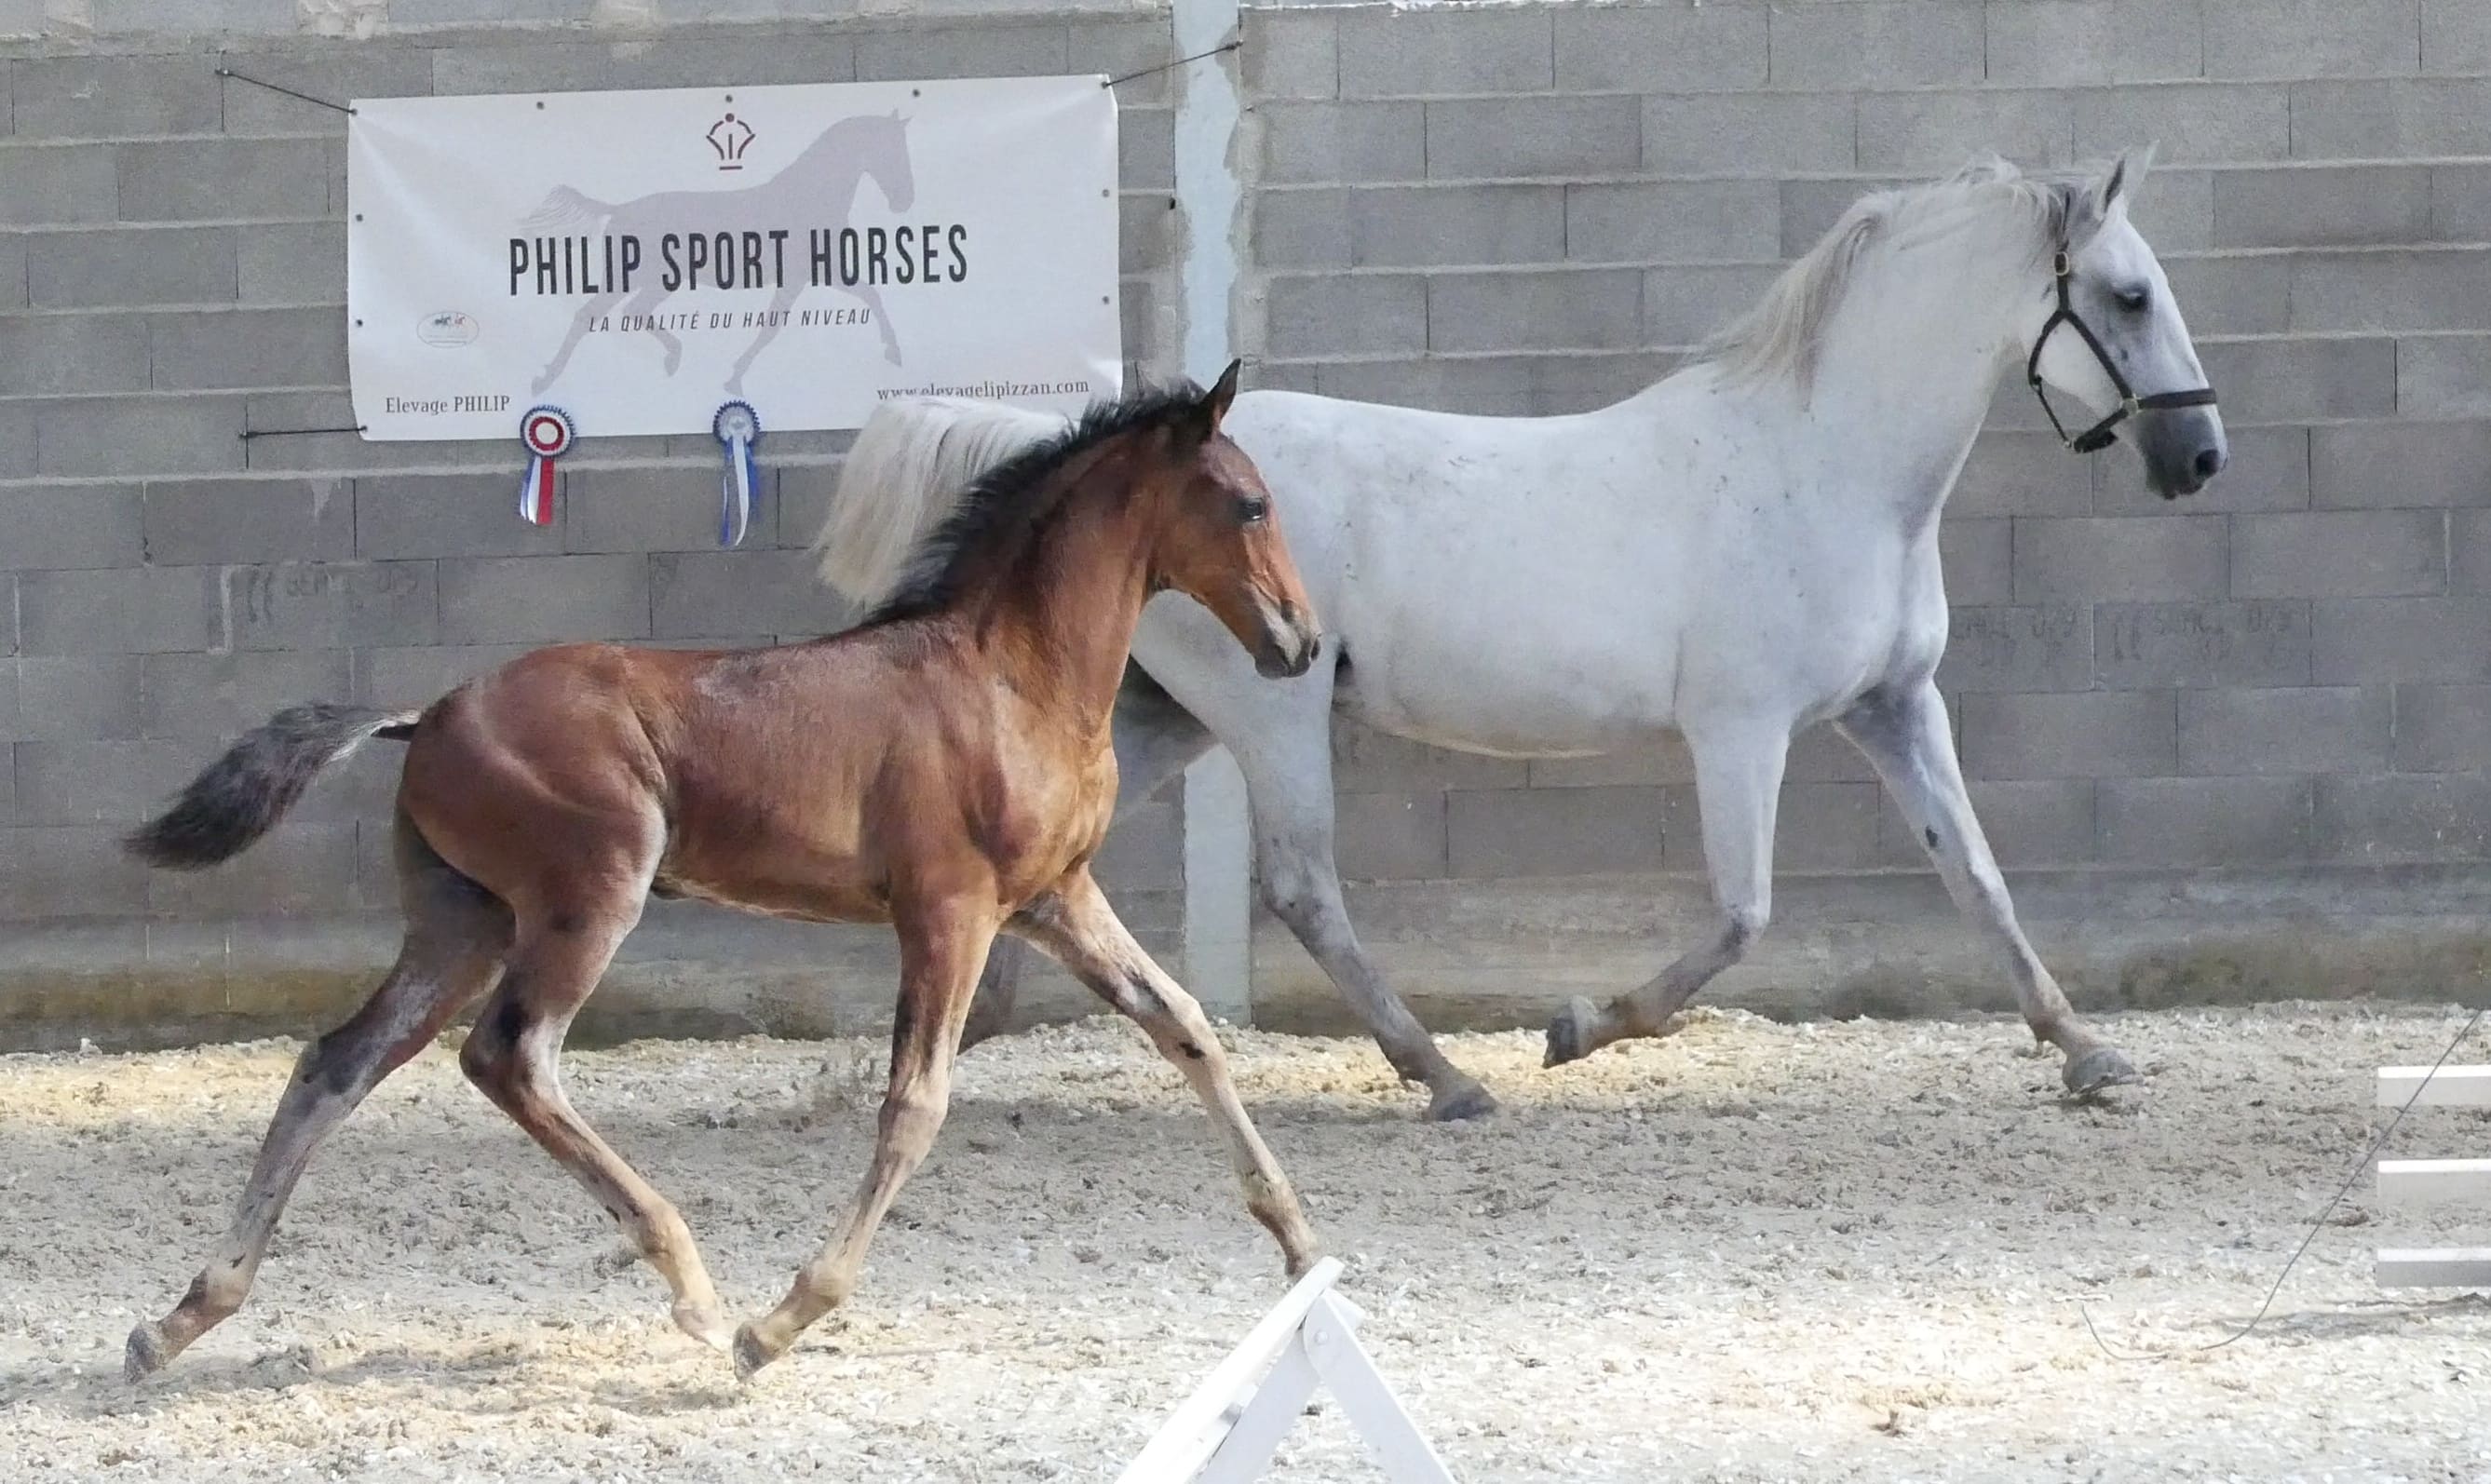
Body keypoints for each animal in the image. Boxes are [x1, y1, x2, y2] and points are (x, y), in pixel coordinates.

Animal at [121, 366, 1325, 1384]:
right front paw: (781, 1318)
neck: (1006, 675)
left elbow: (1184, 1025)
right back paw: (696, 1290)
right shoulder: (949, 910)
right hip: (587, 898)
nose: (1301, 643)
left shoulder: (1053, 898)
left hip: (464, 918)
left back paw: (179, 1318)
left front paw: (1302, 1241)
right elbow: (915, 1102)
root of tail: (424, 716)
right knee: (510, 1056)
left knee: (339, 1061)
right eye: (1249, 504)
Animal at [806, 154, 2231, 1125]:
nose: (2198, 457)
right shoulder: (1741, 730)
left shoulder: (1894, 706)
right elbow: (1742, 915)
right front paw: (1576, 1026)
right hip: (1269, 712)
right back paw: (1444, 1076)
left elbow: (1978, 878)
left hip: (1174, 715)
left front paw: (2089, 1055)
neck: (1824, 466)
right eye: (2126, 295)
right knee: (1302, 889)